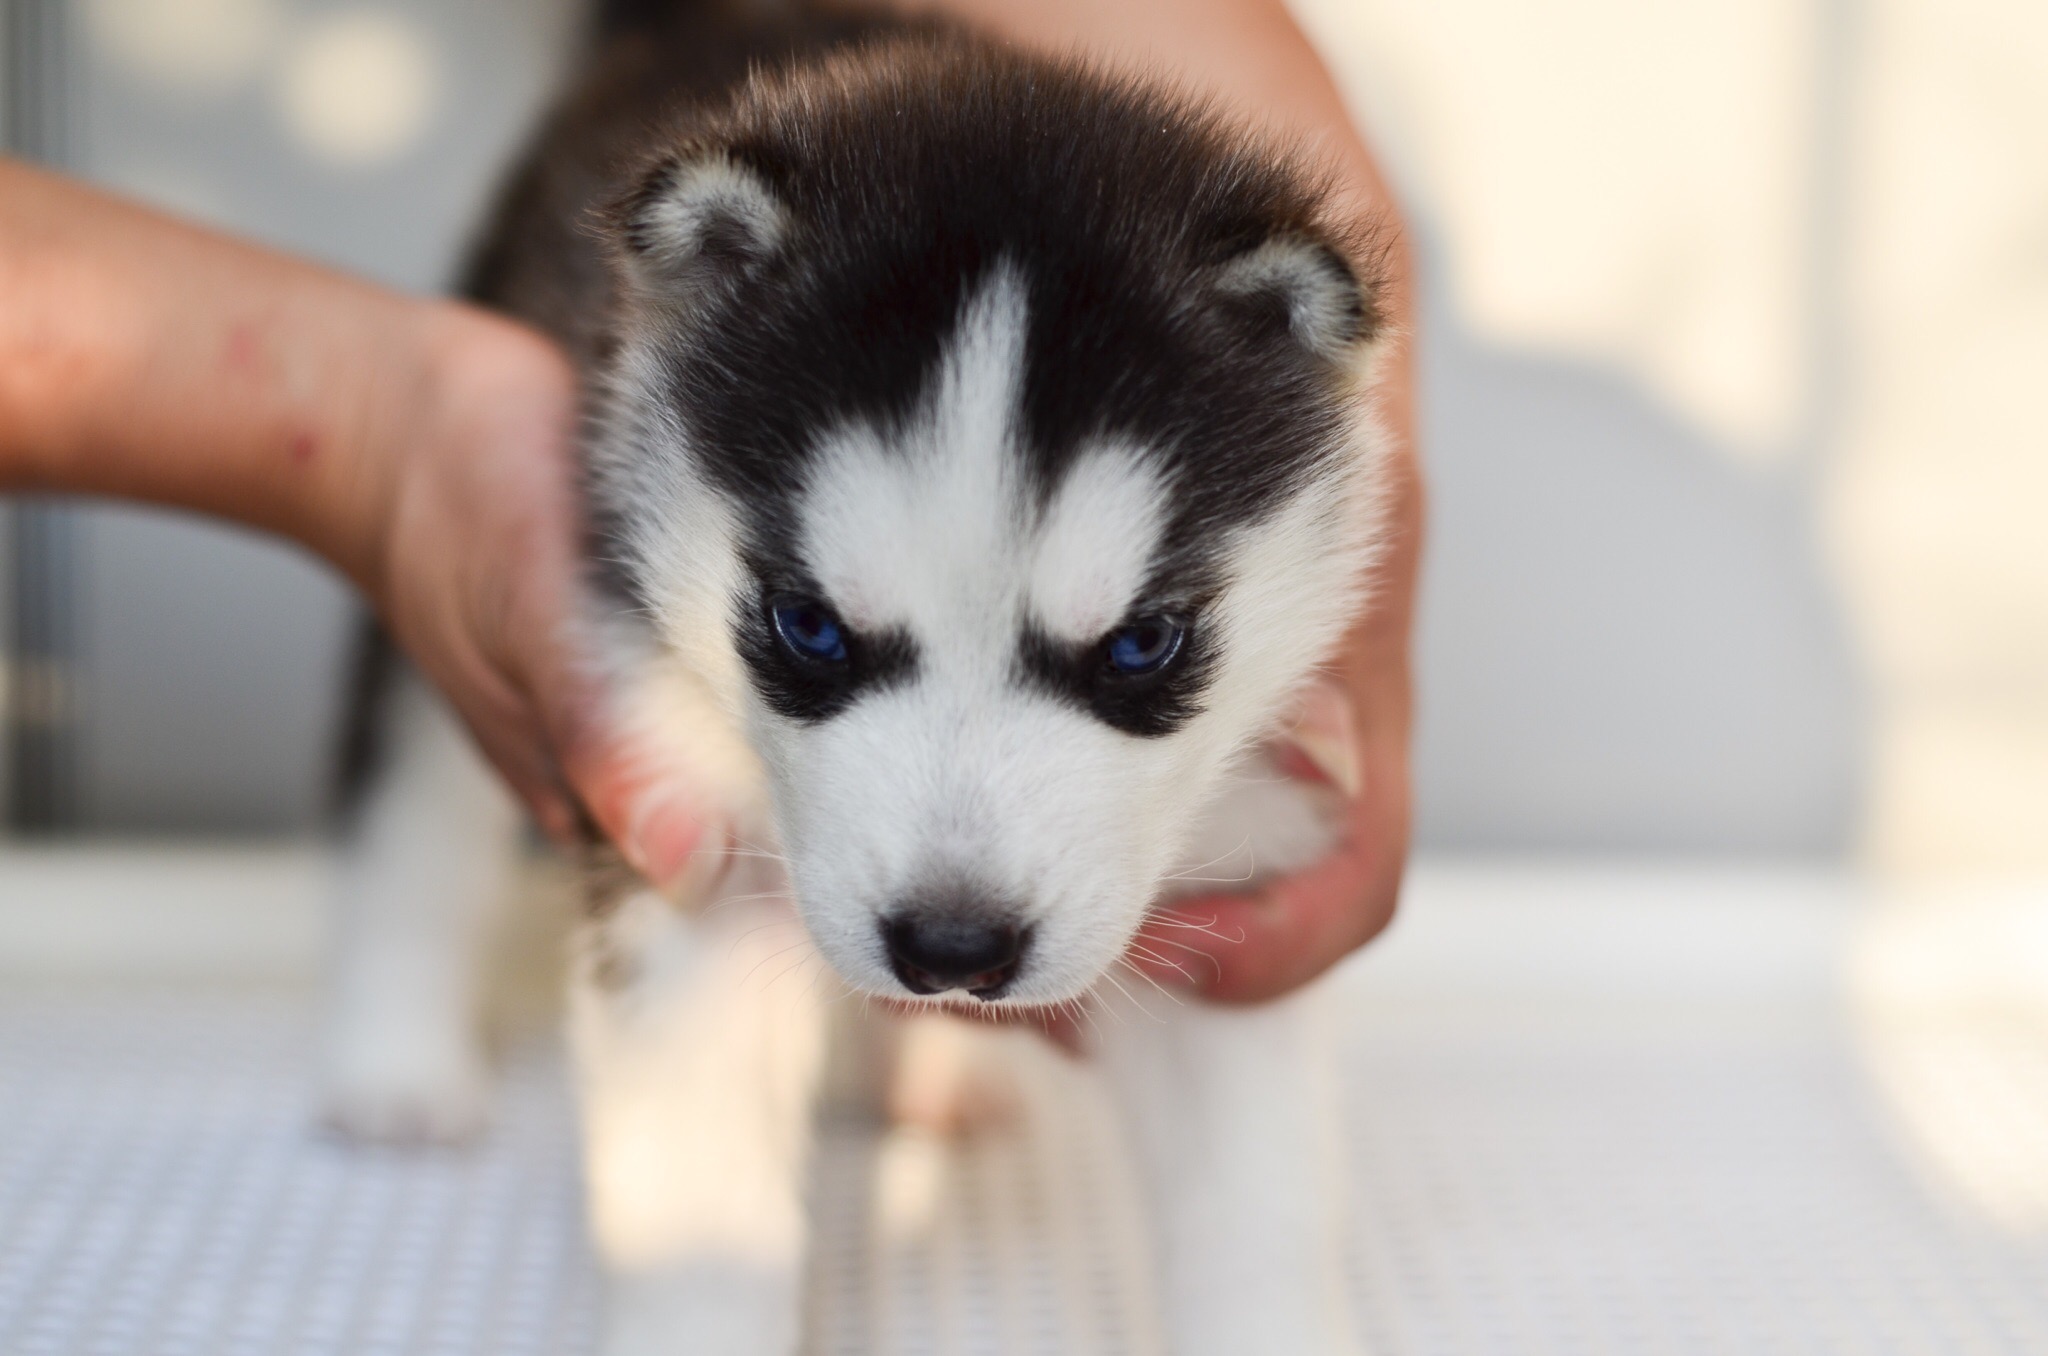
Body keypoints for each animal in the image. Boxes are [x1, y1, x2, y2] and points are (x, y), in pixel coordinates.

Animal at [327, 5, 1400, 1351]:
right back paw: (394, 1065)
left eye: (1140, 644)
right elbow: (701, 1214)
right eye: (810, 629)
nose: (952, 948)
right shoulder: (677, 831)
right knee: (412, 804)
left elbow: (1253, 1210)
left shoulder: (1237, 888)